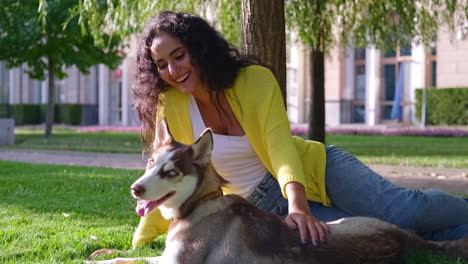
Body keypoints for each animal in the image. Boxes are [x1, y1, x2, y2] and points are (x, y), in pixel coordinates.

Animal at [87, 120, 464, 264]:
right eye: (150, 163)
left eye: (171, 173)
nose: (135, 189)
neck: (200, 204)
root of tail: (402, 239)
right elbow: (124, 254)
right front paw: (101, 250)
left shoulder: (177, 262)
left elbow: (130, 260)